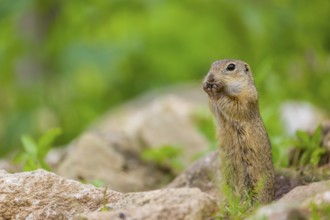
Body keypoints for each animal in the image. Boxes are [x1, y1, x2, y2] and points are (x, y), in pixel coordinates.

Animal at [202, 58, 274, 205]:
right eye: (211, 66)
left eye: (231, 67)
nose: (210, 77)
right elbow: (213, 107)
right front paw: (207, 89)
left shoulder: (248, 97)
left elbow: (236, 105)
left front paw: (217, 91)